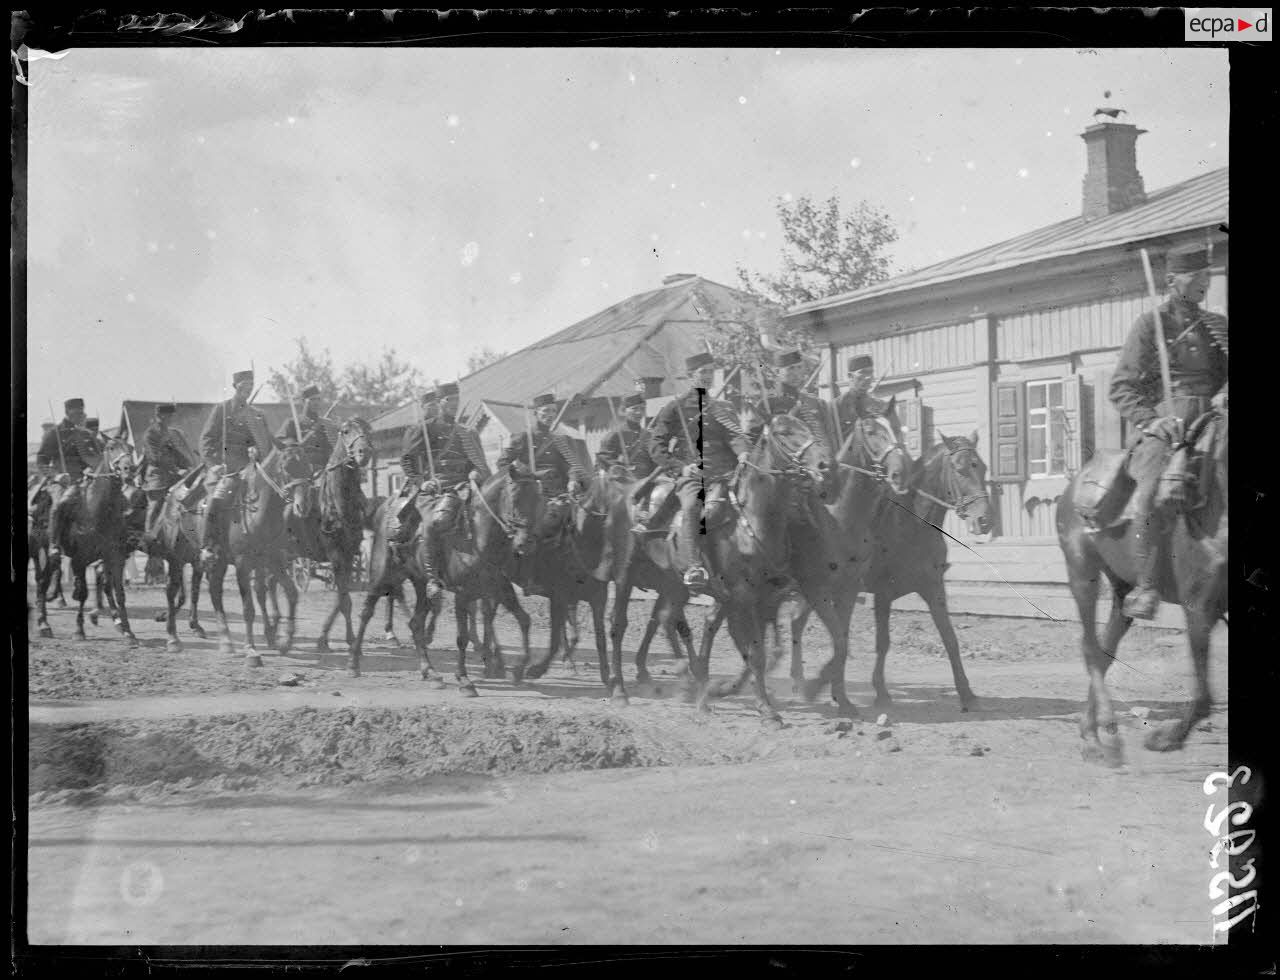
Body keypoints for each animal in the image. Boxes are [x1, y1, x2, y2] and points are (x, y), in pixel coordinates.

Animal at [36, 450, 138, 649]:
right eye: (111, 447)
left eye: (129, 448)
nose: (128, 469)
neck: (98, 513)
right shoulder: (79, 560)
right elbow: (83, 593)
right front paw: (79, 631)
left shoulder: (115, 558)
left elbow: (119, 593)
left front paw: (128, 632)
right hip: (47, 552)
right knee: (43, 581)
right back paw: (44, 624)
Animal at [1054, 406, 1223, 767]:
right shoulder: (1199, 608)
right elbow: (1203, 695)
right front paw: (1165, 739)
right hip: (1082, 573)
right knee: (1090, 646)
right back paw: (1103, 735)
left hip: (1121, 592)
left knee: (1104, 649)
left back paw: (1091, 734)